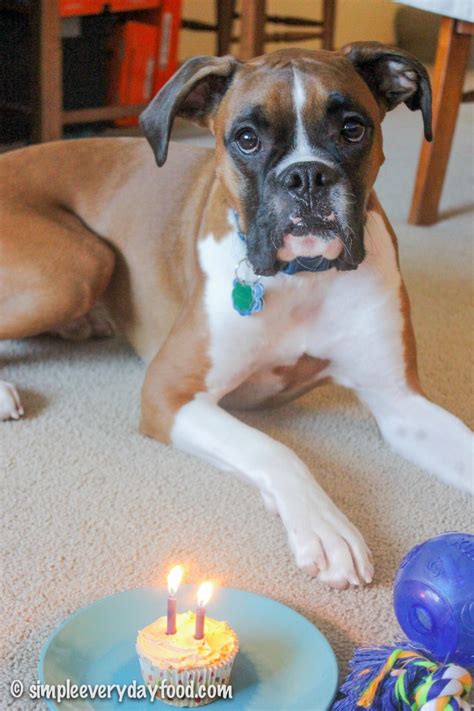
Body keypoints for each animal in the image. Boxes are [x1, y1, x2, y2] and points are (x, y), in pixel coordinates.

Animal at [1, 44, 472, 588]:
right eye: (247, 139)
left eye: (353, 129)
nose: (307, 175)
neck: (302, 278)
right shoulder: (170, 394)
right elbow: (274, 450)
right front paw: (325, 527)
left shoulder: (400, 404)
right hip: (80, 265)